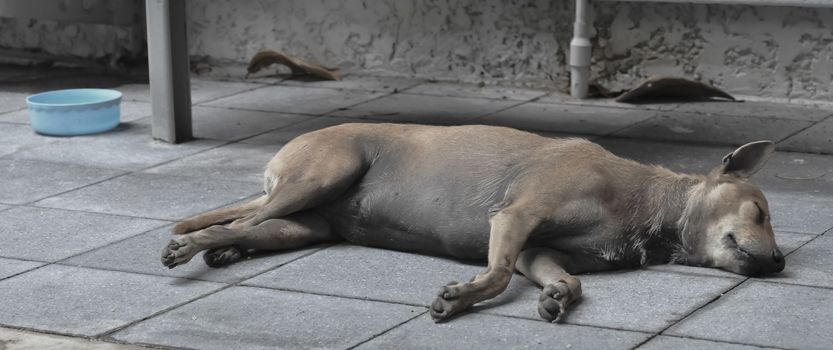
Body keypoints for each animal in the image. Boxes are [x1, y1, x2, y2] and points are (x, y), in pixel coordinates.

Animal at [161, 123, 780, 322]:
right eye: (760, 212)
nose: (778, 261)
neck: (647, 206)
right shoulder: (516, 216)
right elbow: (498, 273)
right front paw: (458, 298)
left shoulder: (537, 249)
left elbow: (566, 278)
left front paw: (558, 296)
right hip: (322, 174)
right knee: (235, 218)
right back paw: (193, 246)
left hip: (306, 222)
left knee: (250, 225)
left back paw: (226, 250)